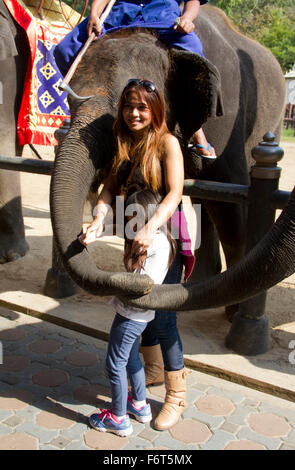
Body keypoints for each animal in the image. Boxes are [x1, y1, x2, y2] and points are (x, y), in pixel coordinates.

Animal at [50, 4, 286, 302]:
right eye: (69, 102)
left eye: (121, 106)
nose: (82, 238)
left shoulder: (229, 117)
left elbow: (230, 200)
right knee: (202, 198)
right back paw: (199, 279)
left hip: (272, 121)